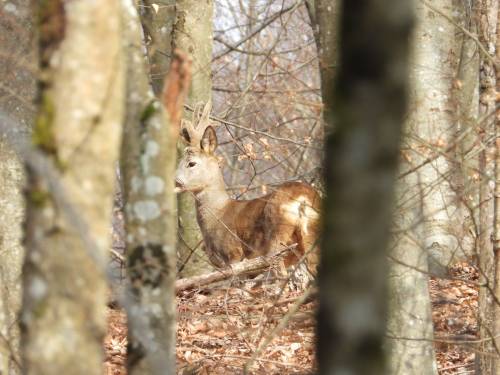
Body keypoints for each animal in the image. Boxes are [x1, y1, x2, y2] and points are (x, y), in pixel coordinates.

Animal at [174, 104, 318, 280]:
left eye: (191, 163)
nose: (175, 181)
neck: (218, 213)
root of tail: (303, 199)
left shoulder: (233, 253)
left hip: (277, 236)